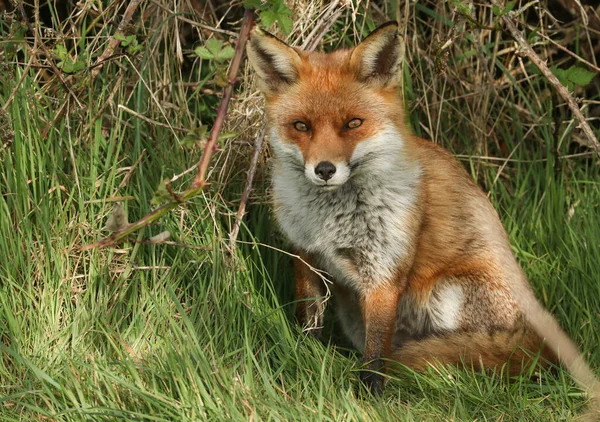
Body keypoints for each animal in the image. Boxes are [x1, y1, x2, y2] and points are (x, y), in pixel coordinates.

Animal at [246, 20, 596, 408]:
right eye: (301, 126)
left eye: (353, 123)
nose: (324, 170)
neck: (330, 220)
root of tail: (539, 337)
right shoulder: (305, 254)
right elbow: (309, 320)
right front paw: (306, 358)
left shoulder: (383, 272)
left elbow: (375, 353)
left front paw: (370, 397)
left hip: (449, 292)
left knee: (470, 354)